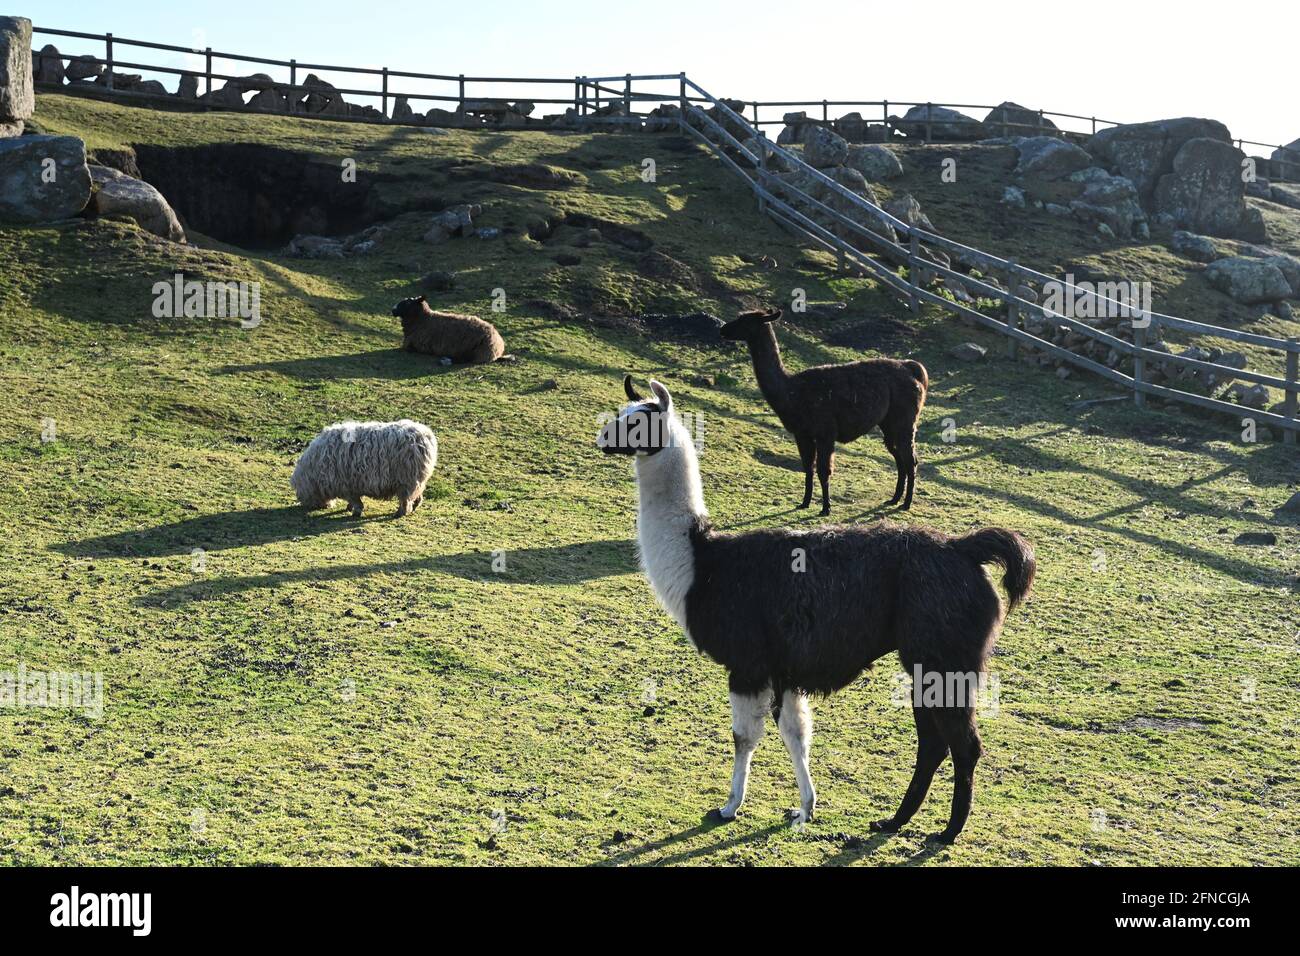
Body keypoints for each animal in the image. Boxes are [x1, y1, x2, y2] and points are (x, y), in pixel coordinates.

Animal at [292, 421, 439, 520]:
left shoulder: (347, 487)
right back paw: (414, 506)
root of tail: (426, 436)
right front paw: (349, 508)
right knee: (417, 494)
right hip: (417, 478)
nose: (307, 506)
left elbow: (356, 502)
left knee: (405, 499)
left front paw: (355, 512)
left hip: (406, 479)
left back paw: (399, 513)